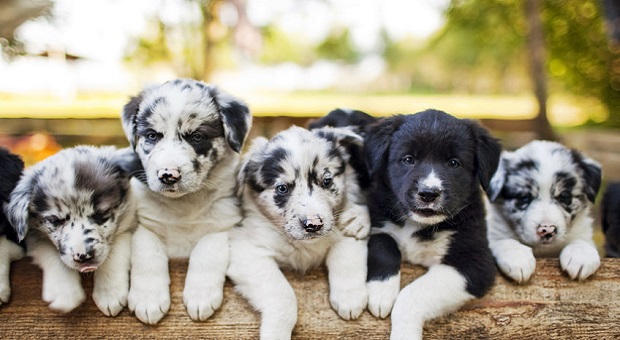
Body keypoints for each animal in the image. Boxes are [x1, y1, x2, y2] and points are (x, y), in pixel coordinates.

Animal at [4, 146, 137, 316]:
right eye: (55, 221)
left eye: (102, 215)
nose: (84, 256)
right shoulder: (34, 237)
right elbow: (51, 255)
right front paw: (65, 293)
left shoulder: (129, 222)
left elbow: (114, 250)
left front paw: (110, 293)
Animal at [121, 77, 252, 324]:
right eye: (152, 136)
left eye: (197, 136)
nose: (168, 175)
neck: (184, 205)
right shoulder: (143, 225)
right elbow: (148, 252)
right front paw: (148, 299)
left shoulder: (226, 224)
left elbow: (207, 248)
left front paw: (200, 296)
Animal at [230, 126, 370, 338]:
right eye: (282, 188)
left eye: (327, 181)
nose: (313, 224)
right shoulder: (247, 251)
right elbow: (282, 293)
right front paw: (276, 332)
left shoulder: (347, 229)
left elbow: (346, 256)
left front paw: (349, 297)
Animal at [360, 110, 502, 338]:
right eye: (408, 159)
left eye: (453, 163)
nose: (428, 193)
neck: (418, 224)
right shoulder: (378, 221)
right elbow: (384, 243)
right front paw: (381, 292)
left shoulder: (475, 263)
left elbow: (411, 295)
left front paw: (404, 334)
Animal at [486, 140, 604, 282]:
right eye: (524, 197)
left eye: (565, 197)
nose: (547, 230)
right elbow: (503, 241)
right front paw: (517, 259)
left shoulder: (582, 234)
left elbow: (582, 242)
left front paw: (580, 256)